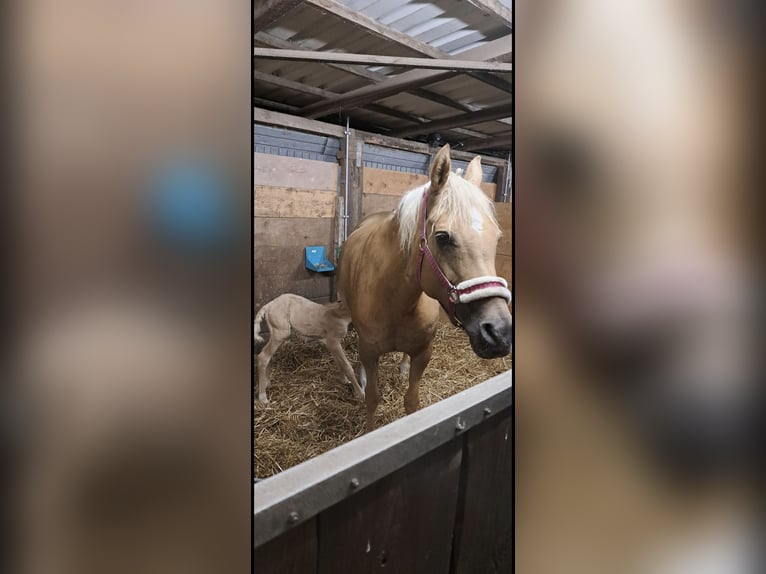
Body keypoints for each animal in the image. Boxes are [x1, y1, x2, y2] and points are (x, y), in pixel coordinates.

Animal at [340, 144, 512, 432]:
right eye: (442, 237)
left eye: (497, 237)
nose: (499, 333)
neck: (394, 298)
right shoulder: (370, 351)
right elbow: (373, 398)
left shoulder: (423, 353)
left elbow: (412, 402)